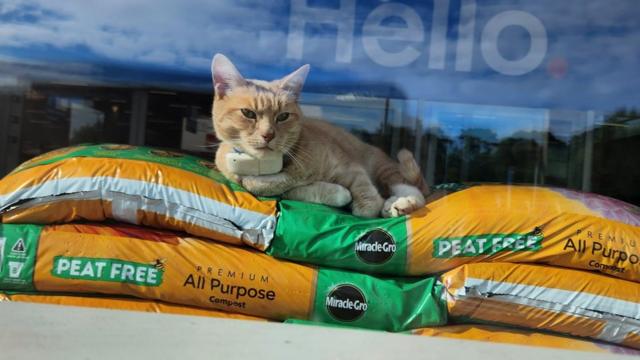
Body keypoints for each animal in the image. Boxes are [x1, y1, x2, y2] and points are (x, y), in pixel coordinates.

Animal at [211, 53, 430, 217]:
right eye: (248, 113)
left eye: (283, 116)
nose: (268, 135)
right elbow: (275, 187)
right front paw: (339, 194)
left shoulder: (350, 167)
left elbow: (365, 200)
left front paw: (365, 205)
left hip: (383, 168)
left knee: (413, 190)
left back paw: (400, 204)